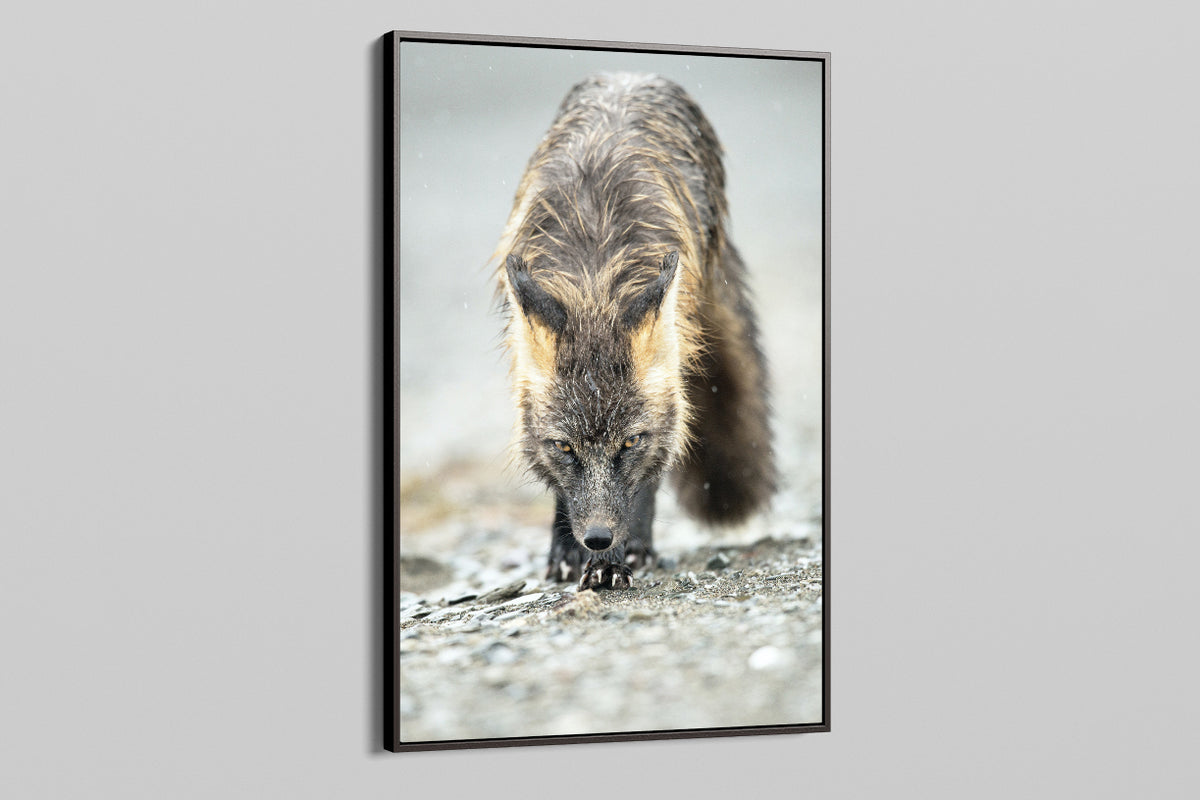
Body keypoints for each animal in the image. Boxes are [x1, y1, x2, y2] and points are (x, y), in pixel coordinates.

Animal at [495, 73, 775, 590]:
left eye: (629, 443)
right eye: (565, 446)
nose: (599, 539)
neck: (595, 273)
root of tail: (632, 74)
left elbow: (643, 483)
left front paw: (614, 560)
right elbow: (564, 493)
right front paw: (569, 550)